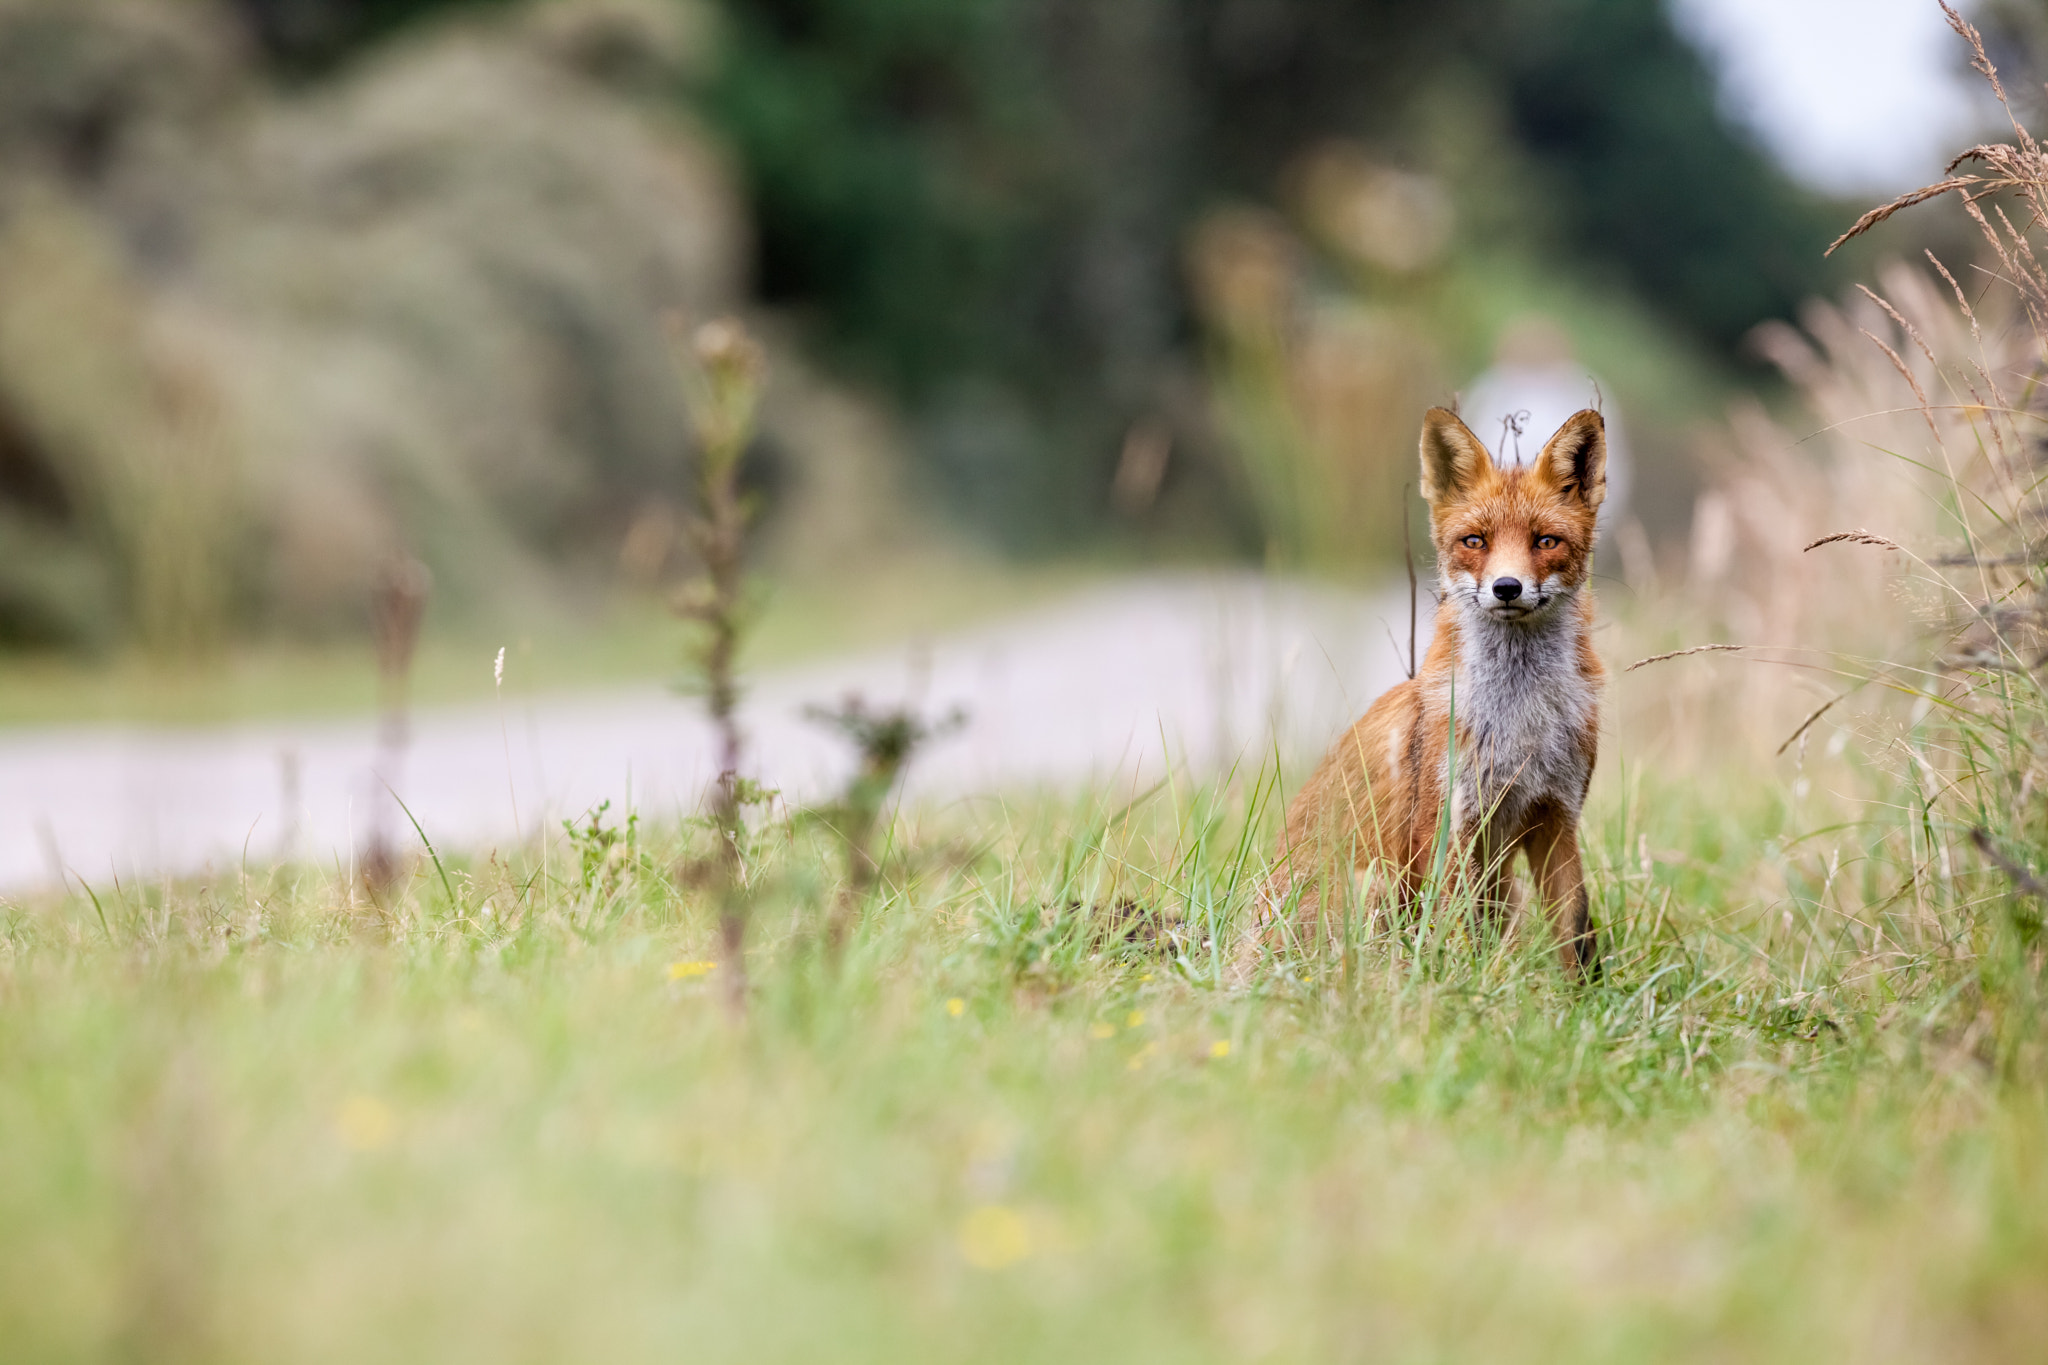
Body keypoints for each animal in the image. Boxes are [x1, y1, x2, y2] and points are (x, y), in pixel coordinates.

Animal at [1253, 405, 1605, 982]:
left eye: (1545, 541)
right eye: (1475, 541)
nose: (1507, 588)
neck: (1519, 721)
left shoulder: (1557, 816)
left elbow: (1577, 935)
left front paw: (1582, 1002)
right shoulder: (1444, 822)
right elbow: (1456, 932)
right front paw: (1465, 992)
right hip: (1370, 883)